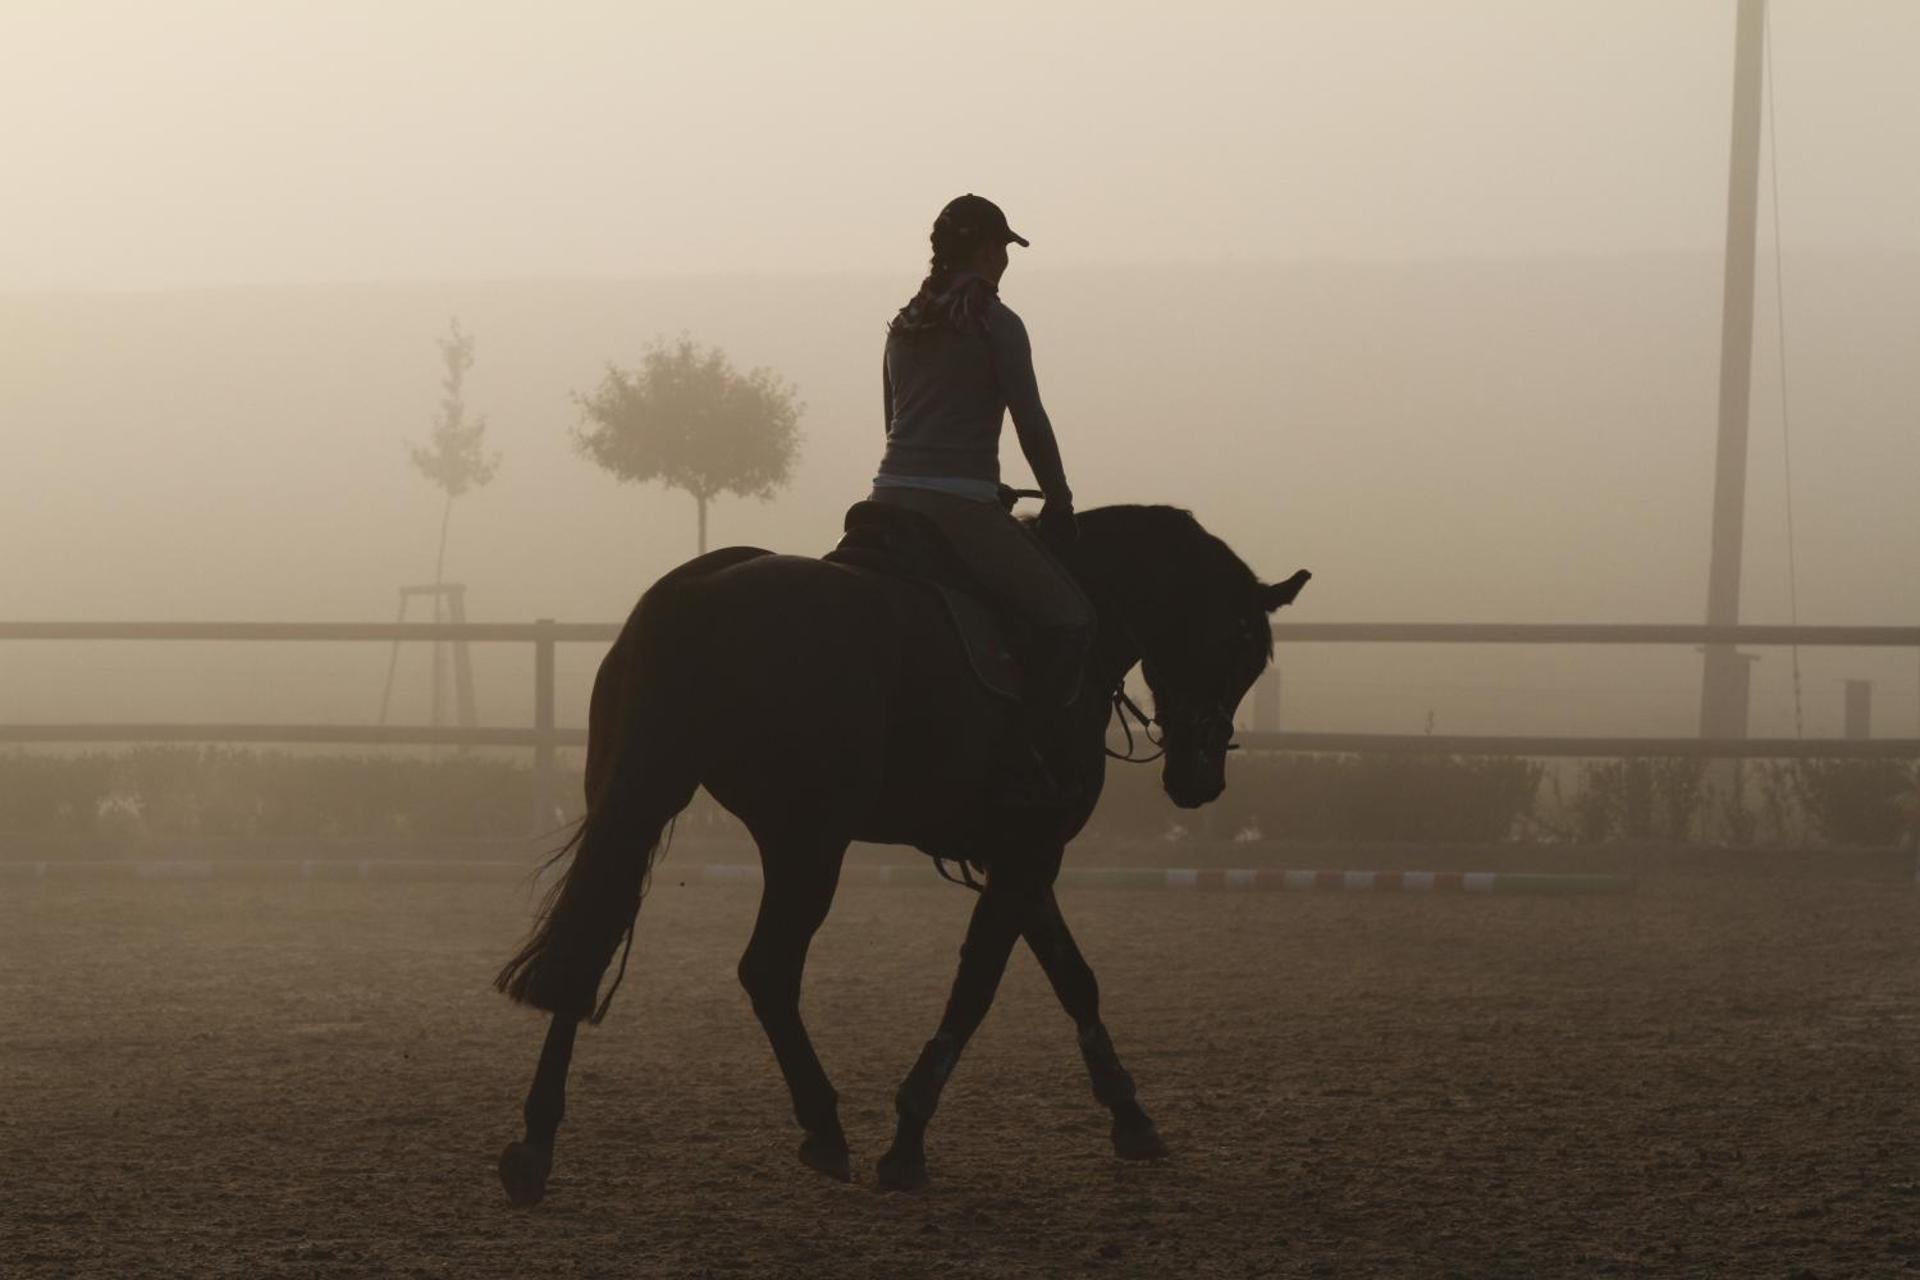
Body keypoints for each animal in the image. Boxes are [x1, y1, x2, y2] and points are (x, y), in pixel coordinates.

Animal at [493, 500, 1310, 1204]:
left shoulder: (1015, 854)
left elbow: (1074, 979)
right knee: (766, 969)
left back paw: (536, 1144)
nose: (1201, 779)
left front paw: (1131, 1117)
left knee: (590, 941)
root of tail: (695, 595)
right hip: (808, 838)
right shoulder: (1030, 850)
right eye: (1239, 648)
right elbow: (977, 987)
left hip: (648, 802)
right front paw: (908, 1137)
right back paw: (824, 1128)